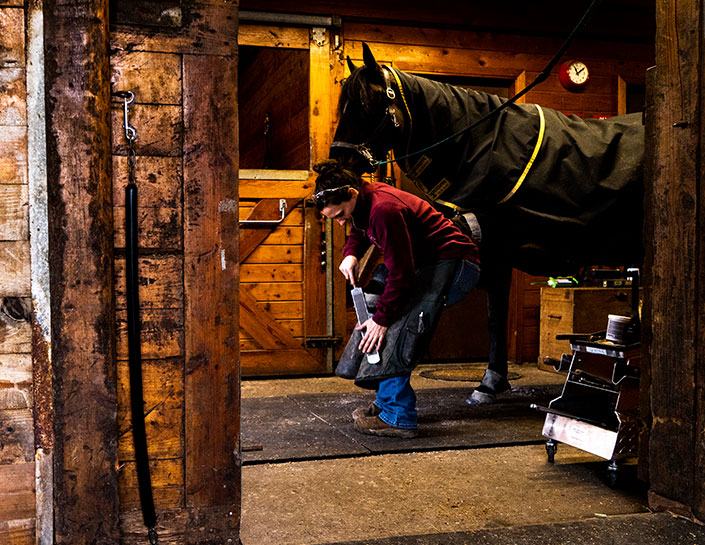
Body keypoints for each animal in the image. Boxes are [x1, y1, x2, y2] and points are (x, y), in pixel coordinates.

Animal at [328, 43, 644, 403]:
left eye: (368, 104)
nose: (337, 164)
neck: (482, 146)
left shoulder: (498, 249)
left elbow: (495, 316)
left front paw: (489, 382)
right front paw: (493, 379)